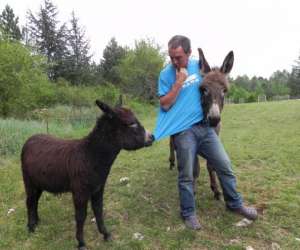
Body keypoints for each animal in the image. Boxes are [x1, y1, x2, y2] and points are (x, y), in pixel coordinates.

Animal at [20, 100, 155, 250]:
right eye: (131, 123)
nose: (152, 137)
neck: (90, 155)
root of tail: (30, 138)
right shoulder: (80, 191)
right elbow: (81, 216)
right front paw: (81, 243)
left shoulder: (98, 188)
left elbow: (98, 210)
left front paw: (106, 234)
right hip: (28, 180)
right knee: (30, 201)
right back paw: (30, 227)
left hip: (39, 182)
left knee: (35, 201)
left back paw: (36, 221)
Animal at [170, 48, 233, 199]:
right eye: (203, 89)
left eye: (224, 90)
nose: (214, 119)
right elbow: (195, 168)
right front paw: (192, 189)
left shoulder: (214, 137)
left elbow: (211, 165)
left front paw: (216, 189)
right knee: (172, 143)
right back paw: (172, 162)